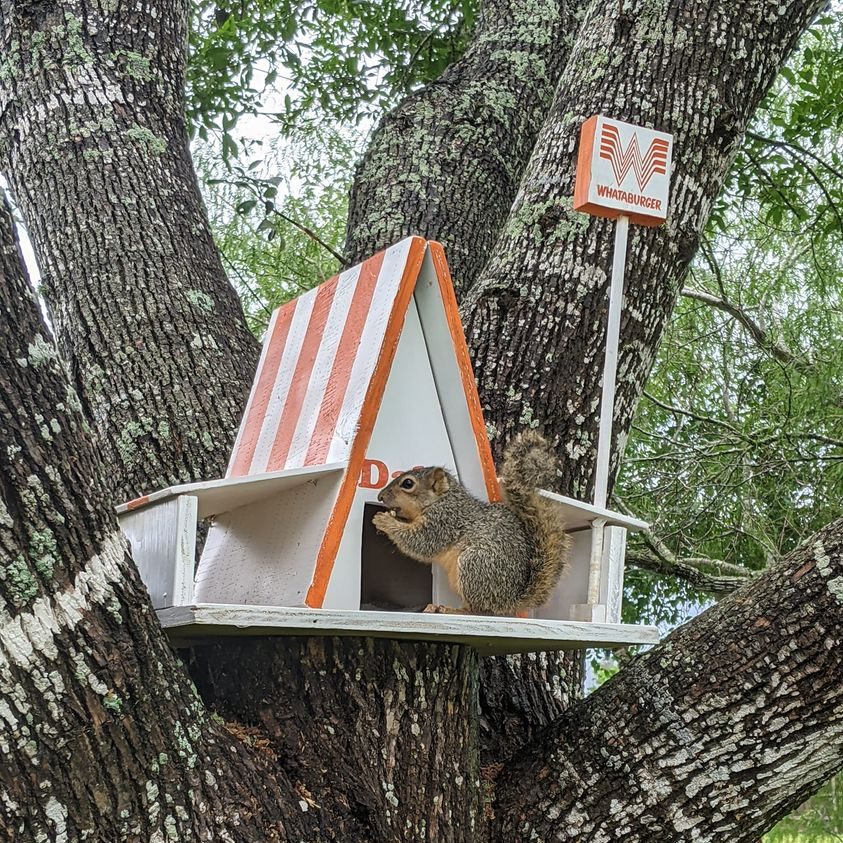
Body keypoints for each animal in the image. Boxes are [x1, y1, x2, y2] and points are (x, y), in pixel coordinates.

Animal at [376, 432, 572, 616]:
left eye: (408, 483)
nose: (380, 496)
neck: (441, 500)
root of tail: (511, 600)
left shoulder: (443, 521)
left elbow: (420, 542)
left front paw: (384, 520)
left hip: (475, 564)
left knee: (479, 610)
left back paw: (451, 610)